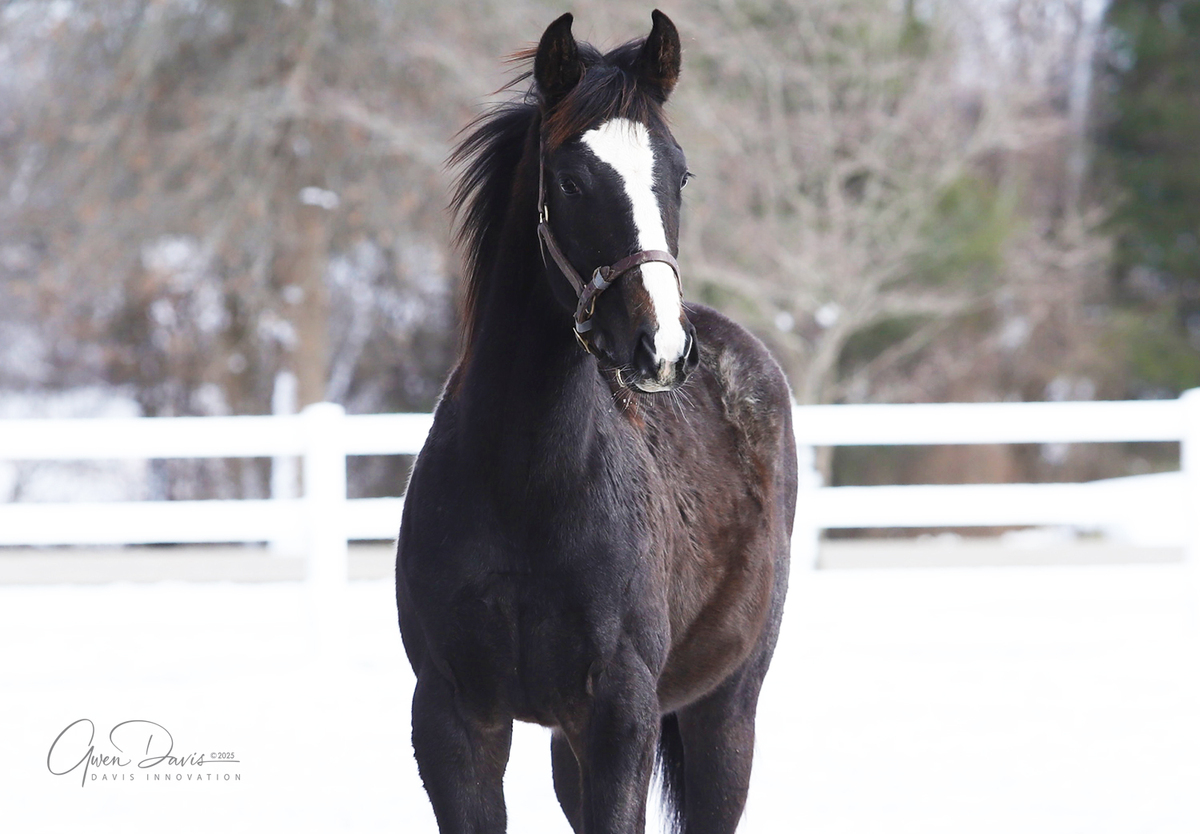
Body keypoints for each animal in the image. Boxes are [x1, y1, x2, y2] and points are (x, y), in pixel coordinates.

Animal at [395, 11, 797, 833]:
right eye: (571, 181)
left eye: (679, 174)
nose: (663, 348)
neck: (524, 483)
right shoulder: (452, 719)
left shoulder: (620, 715)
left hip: (725, 712)